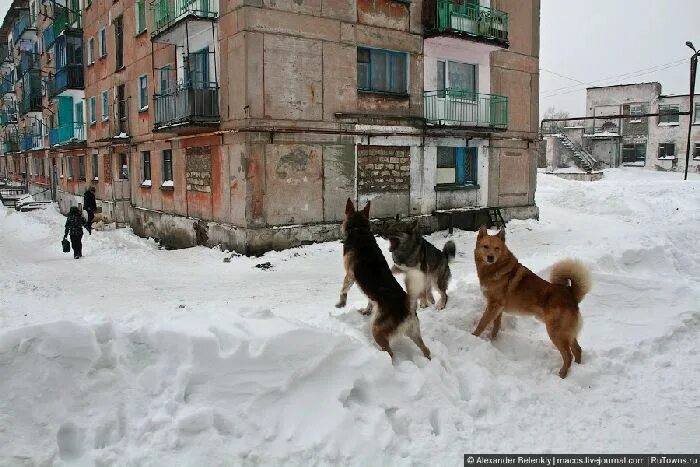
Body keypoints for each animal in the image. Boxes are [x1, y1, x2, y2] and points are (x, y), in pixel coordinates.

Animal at [338, 199, 432, 360]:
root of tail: (407, 307)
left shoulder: (350, 275)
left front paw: (341, 303)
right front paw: (366, 310)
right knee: (426, 349)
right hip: (414, 333)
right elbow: (370, 300)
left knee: (390, 353)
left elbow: (343, 289)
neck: (359, 230)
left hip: (377, 330)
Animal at [476, 228, 592, 380]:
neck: (496, 268)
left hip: (556, 332)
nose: (491, 257)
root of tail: (570, 293)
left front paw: (473, 337)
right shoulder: (497, 308)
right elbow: (496, 326)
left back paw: (562, 375)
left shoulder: (493, 306)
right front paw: (493, 340)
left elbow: (481, 324)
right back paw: (578, 368)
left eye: (497, 248)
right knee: (577, 349)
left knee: (568, 356)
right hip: (566, 333)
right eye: (485, 247)